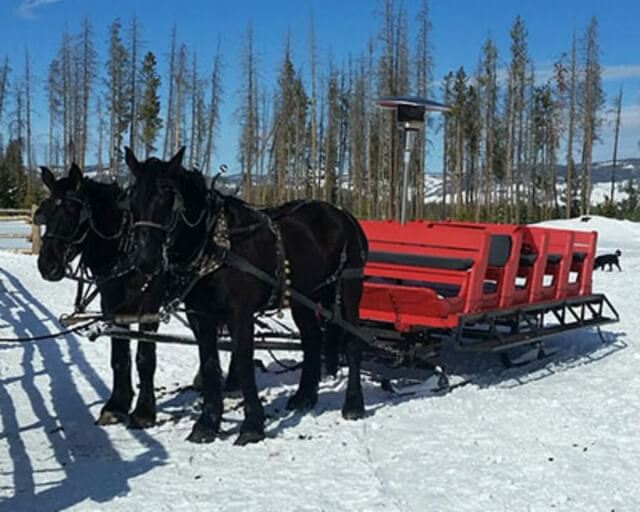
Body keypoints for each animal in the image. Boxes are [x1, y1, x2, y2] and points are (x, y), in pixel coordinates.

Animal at [36, 164, 166, 428]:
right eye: (45, 210)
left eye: (72, 210)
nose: (47, 265)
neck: (127, 249)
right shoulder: (113, 305)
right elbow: (119, 356)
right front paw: (117, 406)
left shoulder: (150, 307)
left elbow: (145, 358)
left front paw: (144, 412)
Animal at [123, 147, 368, 445]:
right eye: (132, 199)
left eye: (167, 199)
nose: (145, 260)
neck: (215, 244)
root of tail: (344, 216)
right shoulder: (200, 316)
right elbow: (209, 364)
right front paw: (207, 424)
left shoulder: (240, 314)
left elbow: (242, 362)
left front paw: (252, 425)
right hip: (304, 296)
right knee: (312, 340)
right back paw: (303, 397)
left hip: (348, 289)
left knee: (352, 342)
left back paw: (354, 404)